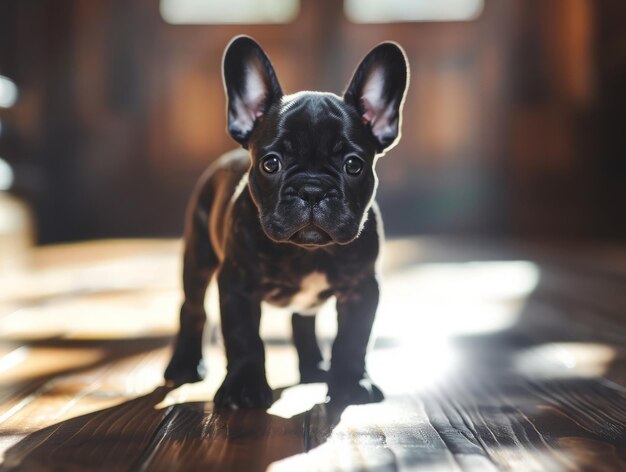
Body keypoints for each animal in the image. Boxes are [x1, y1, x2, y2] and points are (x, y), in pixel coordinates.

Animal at [163, 35, 408, 408]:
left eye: (353, 165)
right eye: (271, 163)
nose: (312, 189)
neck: (306, 252)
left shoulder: (362, 288)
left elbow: (353, 338)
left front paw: (350, 384)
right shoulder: (236, 284)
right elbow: (244, 338)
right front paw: (244, 388)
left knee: (302, 321)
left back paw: (314, 368)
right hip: (198, 257)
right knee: (191, 308)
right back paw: (184, 366)